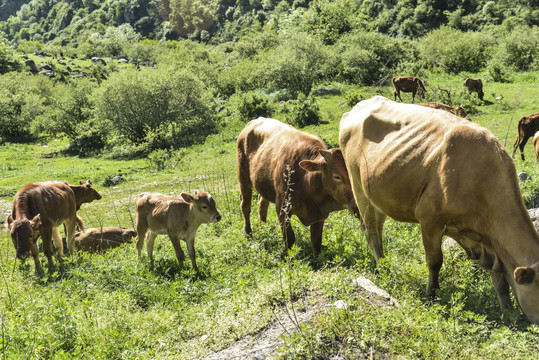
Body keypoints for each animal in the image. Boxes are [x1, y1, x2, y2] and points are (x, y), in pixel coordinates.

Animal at [237, 116, 358, 258]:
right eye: (337, 176)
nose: (358, 203)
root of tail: (254, 121)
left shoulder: (320, 215)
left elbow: (316, 242)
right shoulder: (282, 209)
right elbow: (290, 238)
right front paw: (285, 254)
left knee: (262, 205)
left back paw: (264, 228)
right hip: (243, 179)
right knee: (245, 206)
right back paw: (248, 233)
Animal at [340, 95, 539, 324]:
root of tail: (361, 104)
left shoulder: (484, 239)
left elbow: (498, 276)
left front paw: (507, 309)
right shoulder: (429, 219)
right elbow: (435, 261)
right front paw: (431, 294)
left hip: (377, 196)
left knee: (376, 230)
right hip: (359, 187)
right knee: (371, 232)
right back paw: (383, 269)